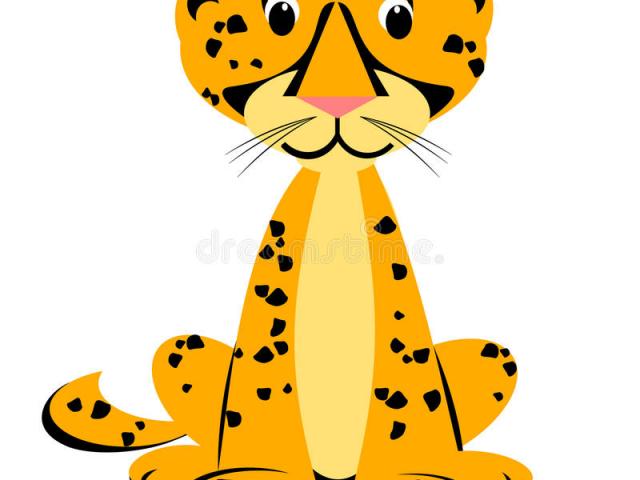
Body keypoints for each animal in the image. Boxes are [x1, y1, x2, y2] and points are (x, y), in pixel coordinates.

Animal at [43, 1, 532, 479]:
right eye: (280, 15)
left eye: (398, 19)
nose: (337, 98)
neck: (335, 188)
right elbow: (262, 384)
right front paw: (255, 468)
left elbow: (409, 389)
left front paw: (416, 468)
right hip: (177, 352)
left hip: (495, 357)